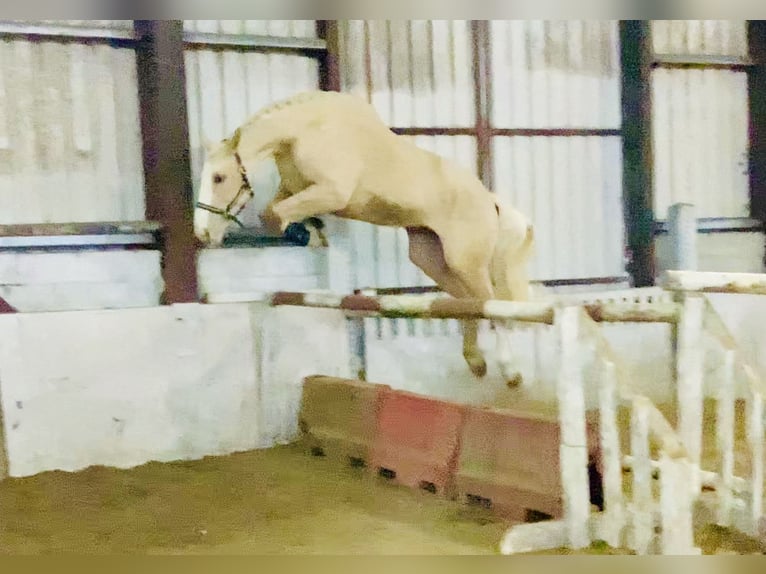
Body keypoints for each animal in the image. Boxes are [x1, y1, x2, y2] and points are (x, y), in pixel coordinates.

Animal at [194, 90, 535, 387]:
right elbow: (271, 213)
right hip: (432, 258)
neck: (303, 132)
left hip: (465, 260)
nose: (203, 233)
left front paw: (308, 232)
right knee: (468, 303)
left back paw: (511, 373)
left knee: (492, 304)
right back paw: (476, 363)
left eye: (219, 178)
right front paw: (310, 232)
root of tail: (489, 199)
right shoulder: (295, 190)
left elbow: (276, 215)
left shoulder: (332, 192)